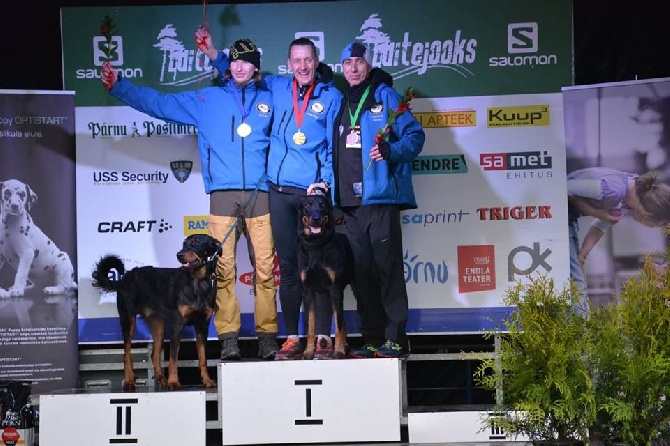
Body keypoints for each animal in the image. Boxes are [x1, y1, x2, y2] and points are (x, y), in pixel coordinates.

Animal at [92, 233, 222, 390]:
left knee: (154, 354)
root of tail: (124, 278)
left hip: (158, 324)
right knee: (126, 353)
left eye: (196, 243)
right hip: (128, 319)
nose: (179, 255)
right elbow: (173, 358)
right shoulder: (177, 325)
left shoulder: (203, 326)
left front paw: (207, 381)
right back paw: (129, 380)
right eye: (183, 244)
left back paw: (161, 379)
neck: (198, 281)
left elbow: (203, 357)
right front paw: (174, 382)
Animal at [298, 191, 354, 358]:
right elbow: (310, 325)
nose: (316, 218)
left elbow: (338, 324)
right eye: (307, 205)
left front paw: (339, 351)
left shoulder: (335, 289)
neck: (316, 244)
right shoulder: (307, 291)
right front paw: (308, 351)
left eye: (322, 205)